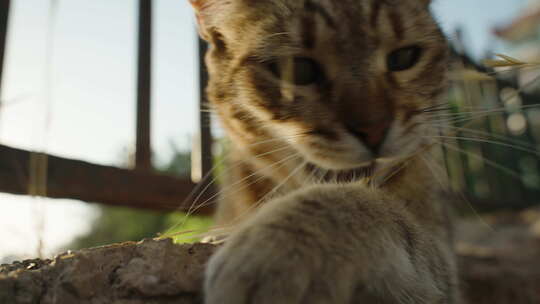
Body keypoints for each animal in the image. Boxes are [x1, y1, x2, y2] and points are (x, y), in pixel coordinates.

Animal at [190, 0, 460, 302]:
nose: (375, 130)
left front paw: (278, 249)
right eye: (297, 70)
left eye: (404, 57)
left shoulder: (443, 259)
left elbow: (358, 199)